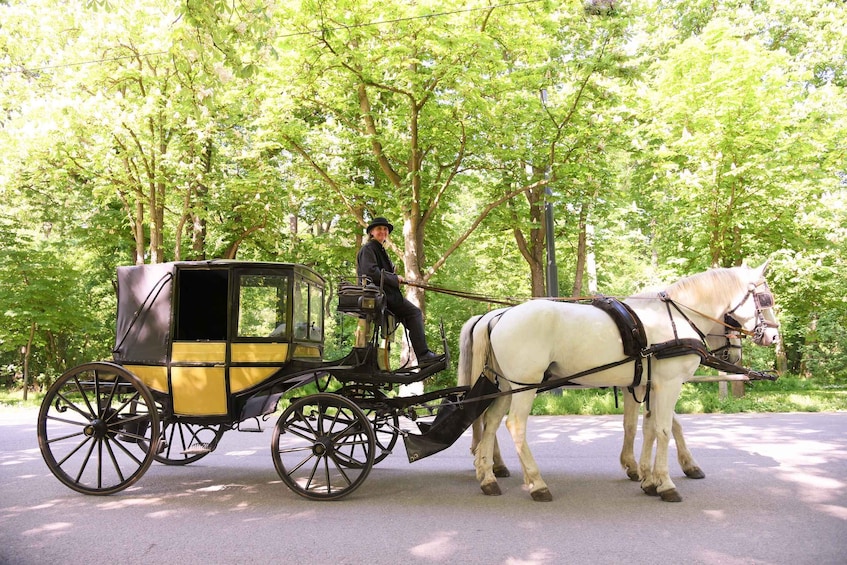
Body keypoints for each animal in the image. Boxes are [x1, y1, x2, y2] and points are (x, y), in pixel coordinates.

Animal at [459, 262, 779, 502]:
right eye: (765, 299)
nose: (774, 336)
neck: (675, 319)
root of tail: (498, 317)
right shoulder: (669, 383)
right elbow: (664, 429)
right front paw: (665, 482)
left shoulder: (645, 384)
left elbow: (645, 427)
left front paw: (646, 476)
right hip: (524, 385)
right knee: (514, 425)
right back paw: (537, 483)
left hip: (505, 385)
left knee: (490, 422)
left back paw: (488, 477)